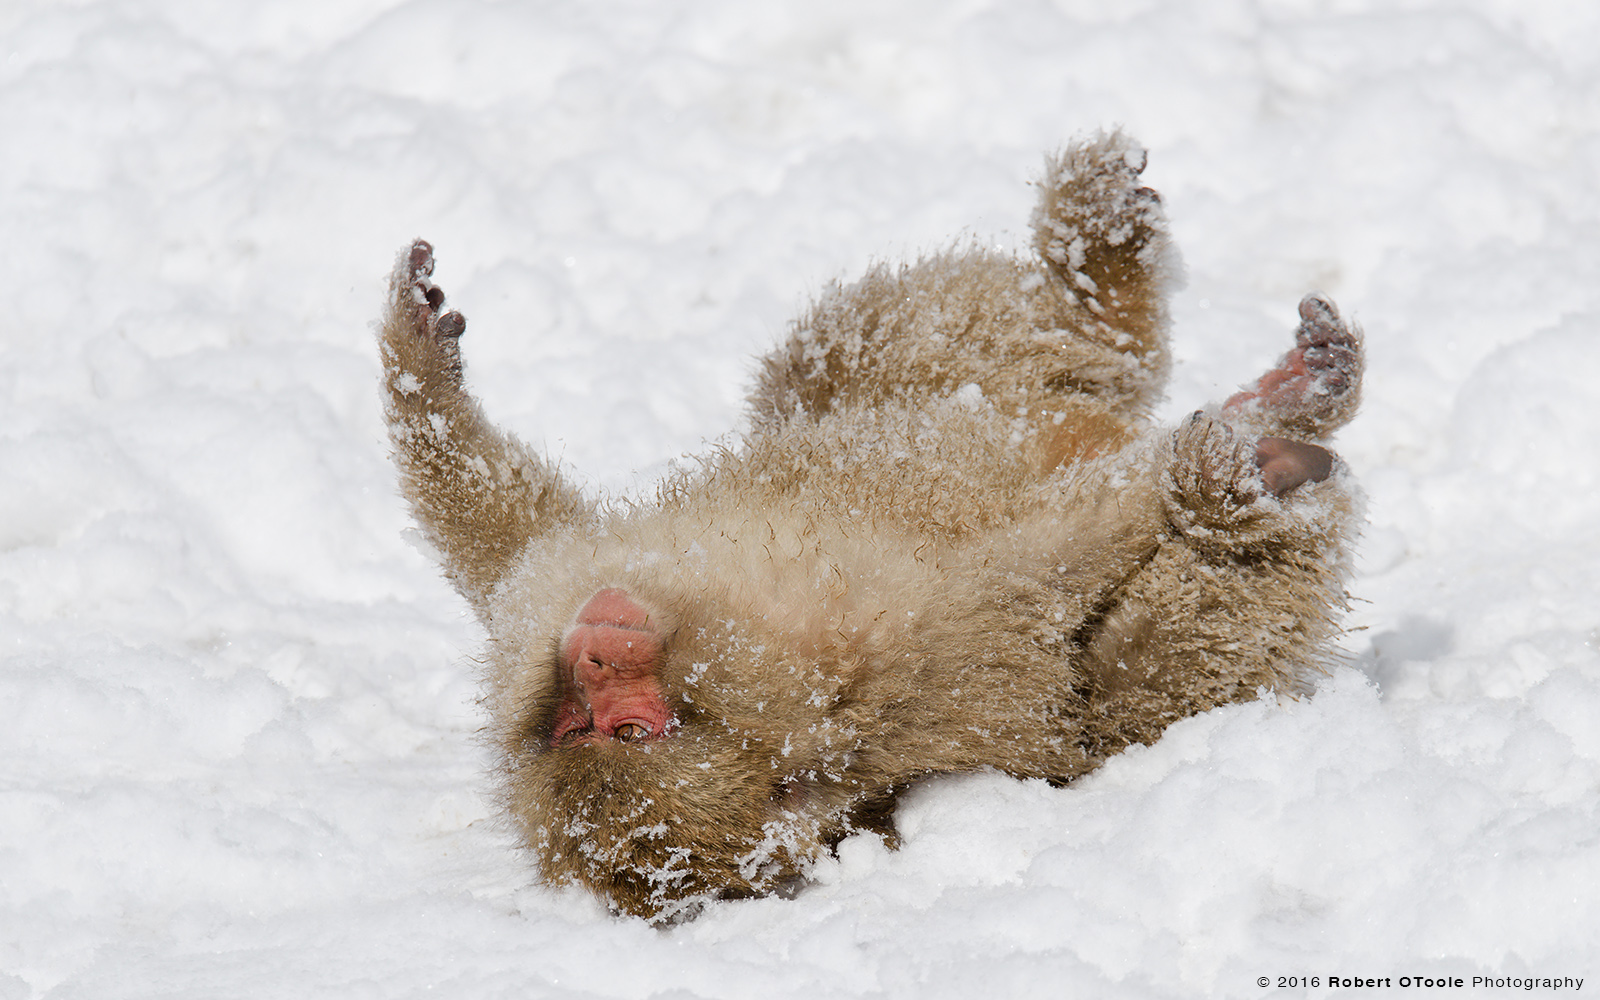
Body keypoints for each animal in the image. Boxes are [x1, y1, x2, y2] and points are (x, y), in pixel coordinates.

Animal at [374, 132, 1363, 921]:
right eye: (603, 732)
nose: (591, 657)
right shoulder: (898, 676)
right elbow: (1033, 572)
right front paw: (1184, 478)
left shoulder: (536, 597)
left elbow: (496, 521)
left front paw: (418, 366)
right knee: (1170, 640)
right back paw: (1252, 465)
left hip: (957, 393)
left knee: (876, 357)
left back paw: (1136, 294)